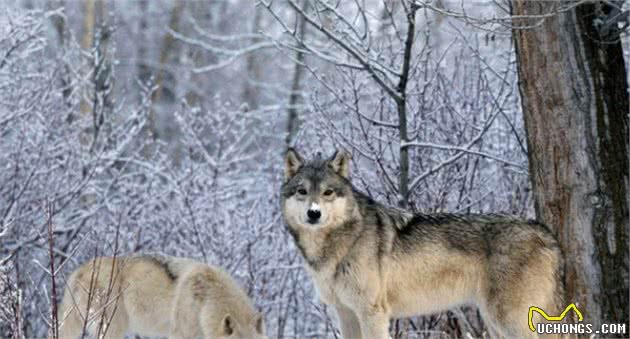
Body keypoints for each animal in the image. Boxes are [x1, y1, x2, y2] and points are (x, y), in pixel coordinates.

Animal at [282, 149, 568, 339]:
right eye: (302, 191)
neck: (339, 244)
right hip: (495, 322)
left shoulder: (372, 313)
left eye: (328, 192)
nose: (314, 213)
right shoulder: (346, 313)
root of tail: (545, 233)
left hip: (507, 319)